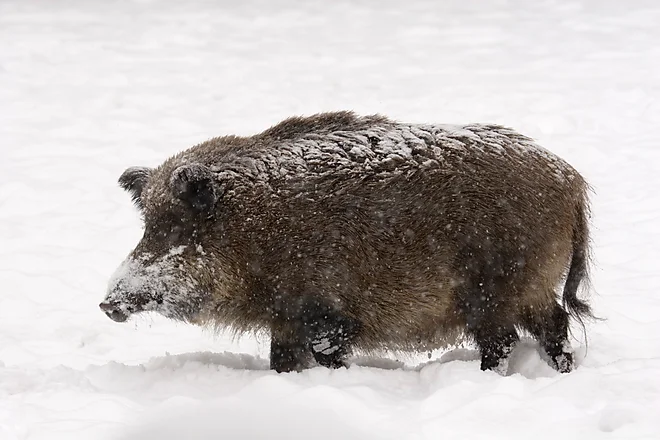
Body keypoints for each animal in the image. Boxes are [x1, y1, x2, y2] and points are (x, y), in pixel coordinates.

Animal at [100, 111, 593, 374]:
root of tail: (571, 182)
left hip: (497, 286)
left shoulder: (325, 312)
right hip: (530, 287)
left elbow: (325, 352)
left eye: (179, 228)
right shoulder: (287, 318)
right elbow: (282, 360)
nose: (107, 304)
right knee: (554, 324)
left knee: (505, 339)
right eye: (146, 225)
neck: (252, 229)